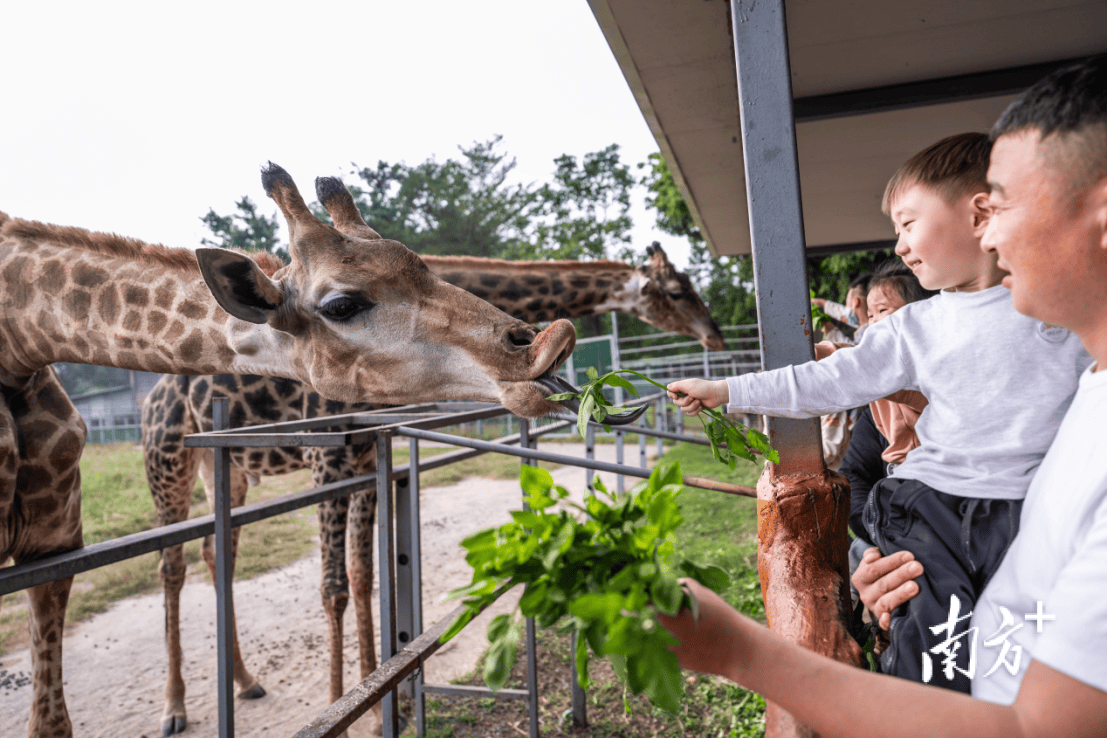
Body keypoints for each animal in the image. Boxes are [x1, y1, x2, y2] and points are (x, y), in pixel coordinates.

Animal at [142, 240, 721, 734]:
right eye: (676, 290)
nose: (714, 334)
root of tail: (155, 395)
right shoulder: (326, 456)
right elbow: (333, 588)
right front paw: (341, 704)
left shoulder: (363, 455)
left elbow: (363, 576)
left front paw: (382, 706)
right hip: (167, 459)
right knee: (171, 566)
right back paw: (173, 710)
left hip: (228, 470)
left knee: (217, 552)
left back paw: (245, 682)